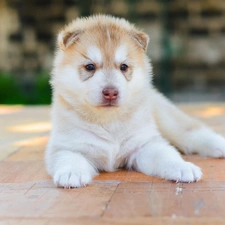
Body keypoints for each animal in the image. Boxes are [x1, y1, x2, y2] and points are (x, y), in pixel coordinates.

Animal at [45, 14, 225, 188]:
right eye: (90, 67)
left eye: (124, 67)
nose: (111, 93)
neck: (109, 121)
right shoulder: (65, 146)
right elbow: (70, 158)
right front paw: (71, 173)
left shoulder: (144, 144)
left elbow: (166, 155)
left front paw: (182, 167)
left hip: (169, 121)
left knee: (193, 133)